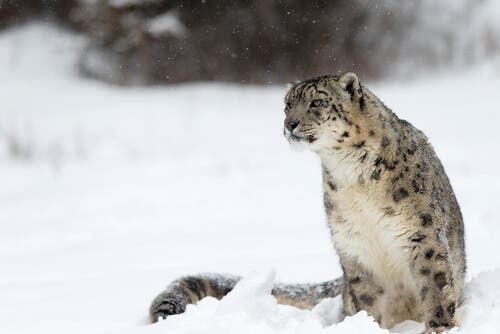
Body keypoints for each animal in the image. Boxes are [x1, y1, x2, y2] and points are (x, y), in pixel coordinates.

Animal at [147, 72, 464, 332]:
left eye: (316, 102)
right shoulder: (354, 243)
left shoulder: (421, 232)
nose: (290, 124)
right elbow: (367, 297)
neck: (353, 176)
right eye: (287, 105)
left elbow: (435, 285)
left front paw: (439, 328)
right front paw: (365, 325)